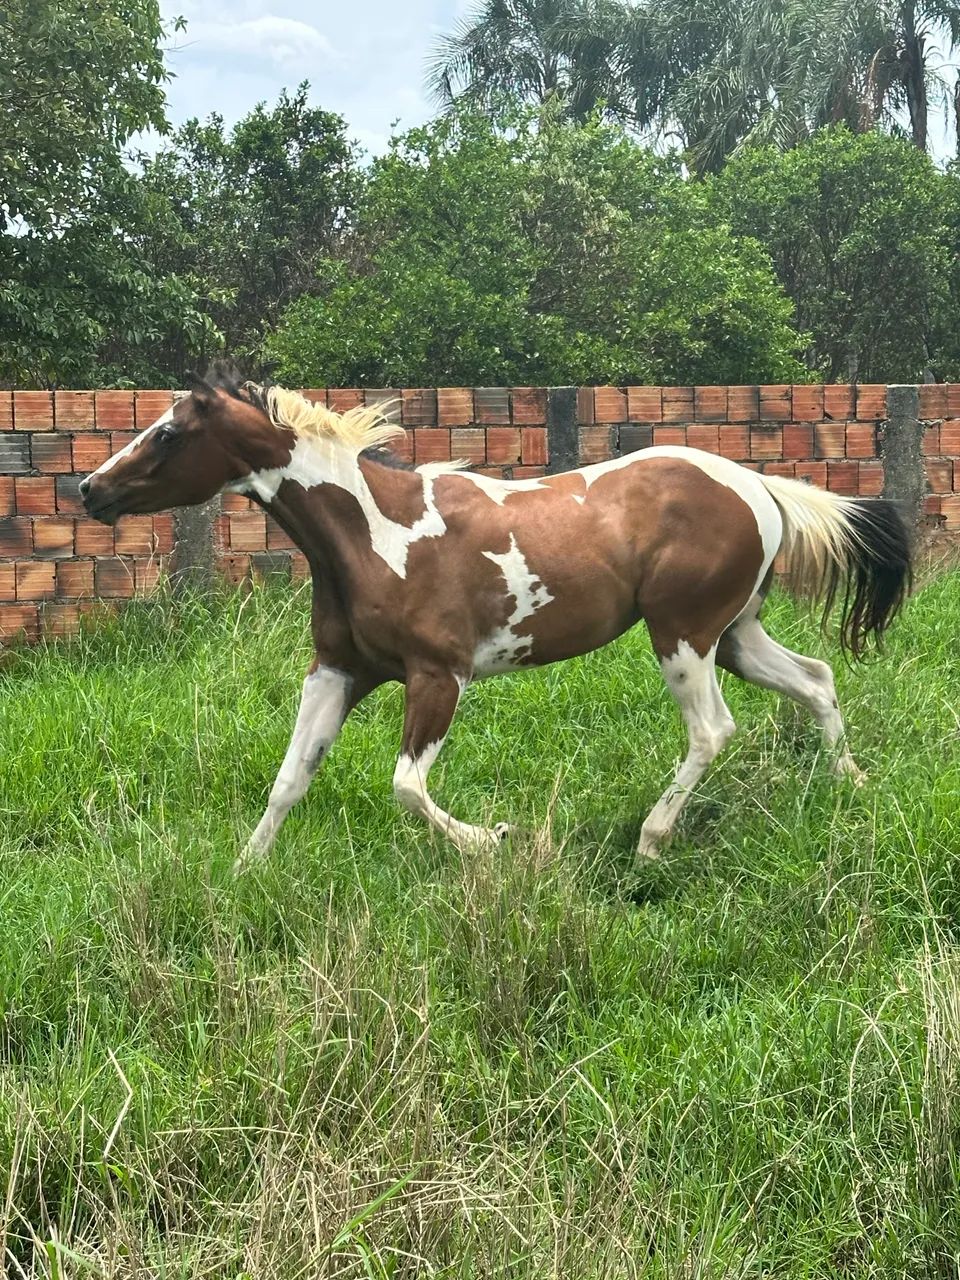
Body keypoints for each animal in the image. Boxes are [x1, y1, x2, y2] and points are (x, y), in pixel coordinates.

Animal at [80, 372, 912, 869]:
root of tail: (760, 486)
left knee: (713, 730)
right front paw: (246, 871)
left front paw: (495, 840)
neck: (373, 533)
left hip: (683, 635)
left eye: (168, 434)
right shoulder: (338, 671)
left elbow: (406, 787)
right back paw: (852, 784)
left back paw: (651, 841)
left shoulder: (438, 676)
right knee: (817, 679)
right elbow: (290, 779)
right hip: (736, 634)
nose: (90, 489)